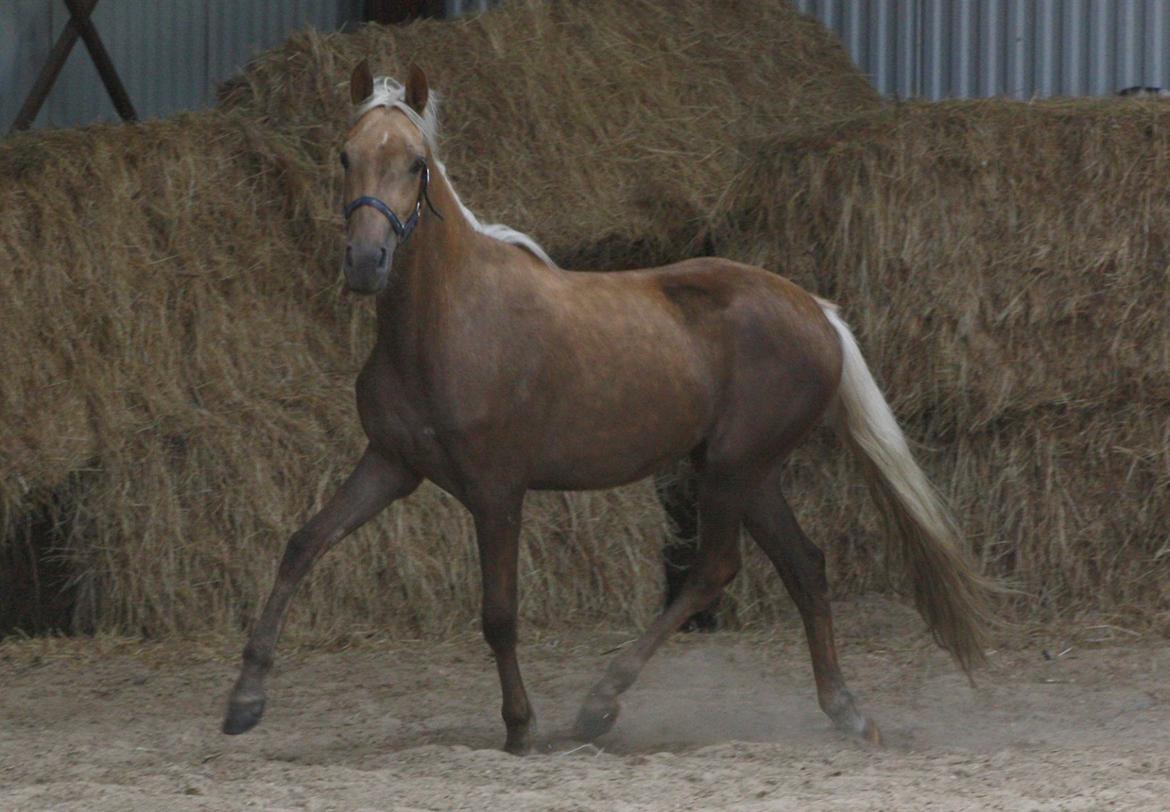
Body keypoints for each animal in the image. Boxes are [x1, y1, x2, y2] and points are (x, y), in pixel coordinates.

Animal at [223, 60, 1001, 753]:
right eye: (345, 155)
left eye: (416, 163)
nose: (365, 263)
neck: (446, 320)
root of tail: (817, 310)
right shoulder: (390, 464)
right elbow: (303, 545)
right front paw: (244, 702)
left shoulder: (496, 490)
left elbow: (499, 614)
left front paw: (520, 728)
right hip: (747, 473)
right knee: (804, 567)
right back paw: (847, 713)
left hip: (732, 467)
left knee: (715, 569)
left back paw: (599, 705)